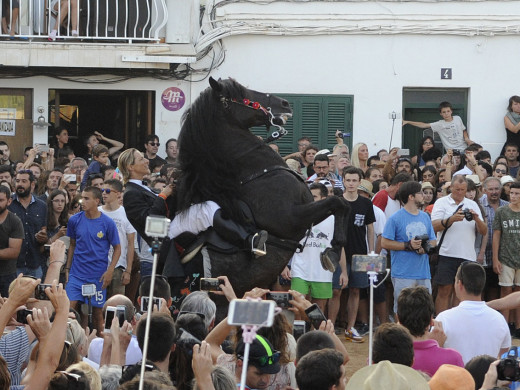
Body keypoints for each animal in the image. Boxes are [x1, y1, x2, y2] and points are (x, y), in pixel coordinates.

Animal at [176, 77, 350, 300]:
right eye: (242, 94)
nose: (284, 103)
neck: (257, 172)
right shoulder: (291, 218)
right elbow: (338, 202)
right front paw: (334, 252)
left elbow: (341, 203)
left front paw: (333, 250)